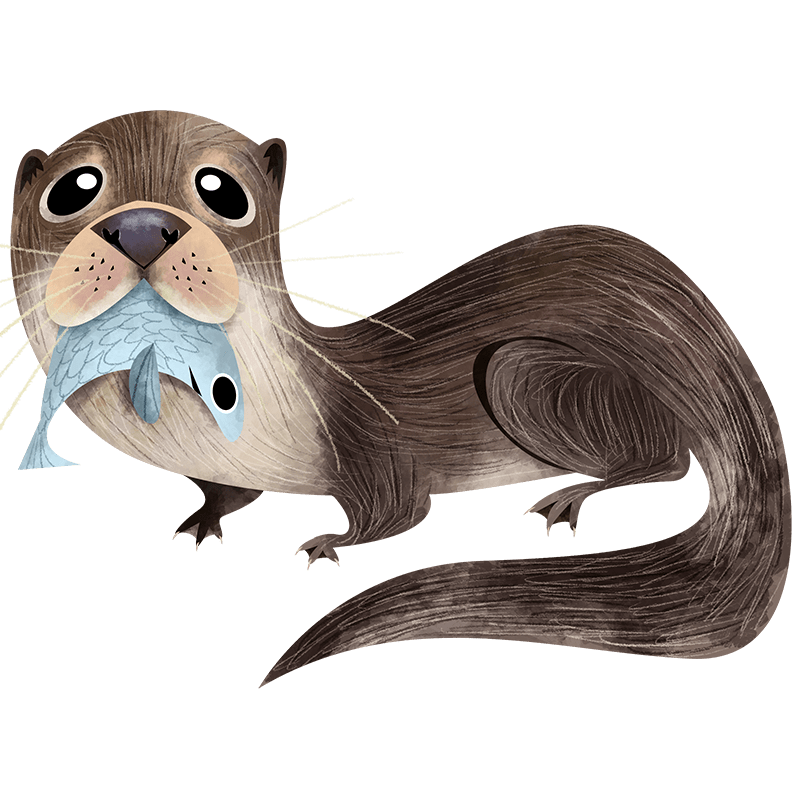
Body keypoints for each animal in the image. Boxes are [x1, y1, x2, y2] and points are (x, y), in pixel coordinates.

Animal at [5, 111, 790, 686]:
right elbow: (226, 492)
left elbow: (401, 512)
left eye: (220, 188)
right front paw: (204, 518)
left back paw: (576, 493)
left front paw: (329, 542)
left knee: (668, 454)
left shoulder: (370, 442)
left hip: (521, 371)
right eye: (73, 188)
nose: (142, 225)